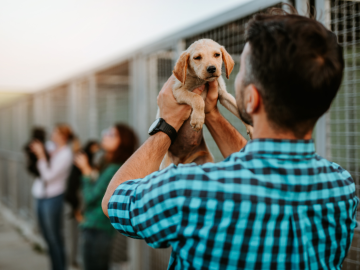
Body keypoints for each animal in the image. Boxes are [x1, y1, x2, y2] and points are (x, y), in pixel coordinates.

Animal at [159, 38, 255, 169]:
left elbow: (238, 108)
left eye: (217, 55)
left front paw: (252, 127)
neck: (202, 81)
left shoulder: (223, 95)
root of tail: (183, 162)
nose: (211, 68)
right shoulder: (178, 91)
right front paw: (198, 119)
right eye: (197, 57)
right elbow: (197, 98)